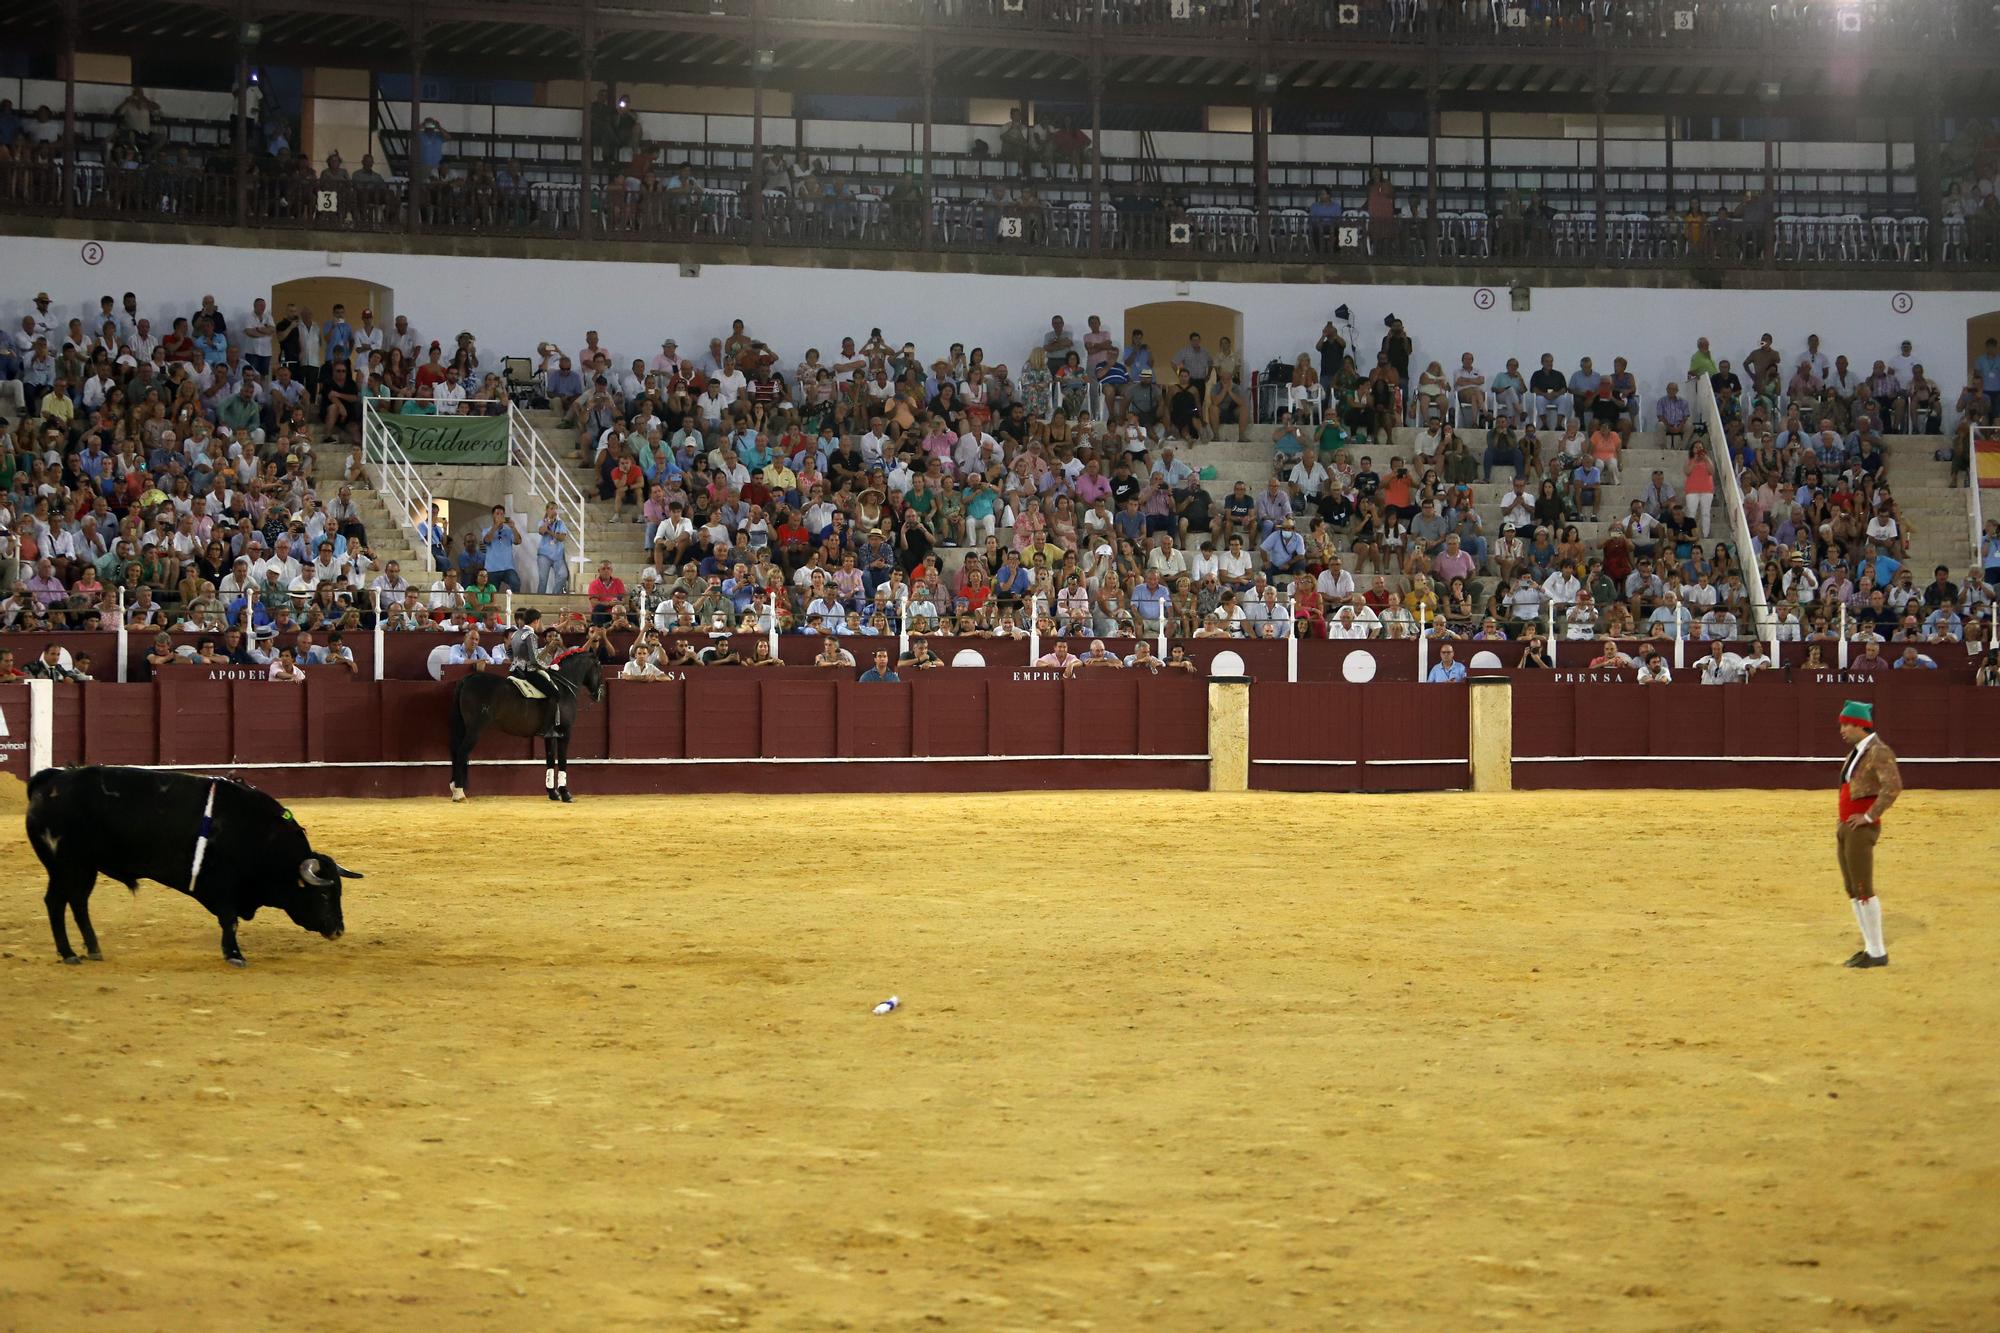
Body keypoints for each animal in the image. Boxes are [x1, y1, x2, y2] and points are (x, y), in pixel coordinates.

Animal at [27, 764, 366, 960]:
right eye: (324, 893)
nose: (338, 930)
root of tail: (51, 780)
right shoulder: (223, 885)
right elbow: (229, 919)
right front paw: (234, 954)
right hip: (64, 865)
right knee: (56, 902)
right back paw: (68, 953)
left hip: (84, 868)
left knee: (77, 902)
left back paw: (93, 949)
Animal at [450, 644, 604, 800]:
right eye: (598, 665)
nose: (599, 694)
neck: (564, 687)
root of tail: (468, 679)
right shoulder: (565, 732)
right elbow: (562, 760)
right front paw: (565, 794)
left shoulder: (550, 736)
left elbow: (550, 759)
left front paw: (552, 793)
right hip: (475, 729)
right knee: (461, 753)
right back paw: (459, 793)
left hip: (464, 727)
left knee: (456, 752)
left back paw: (454, 788)